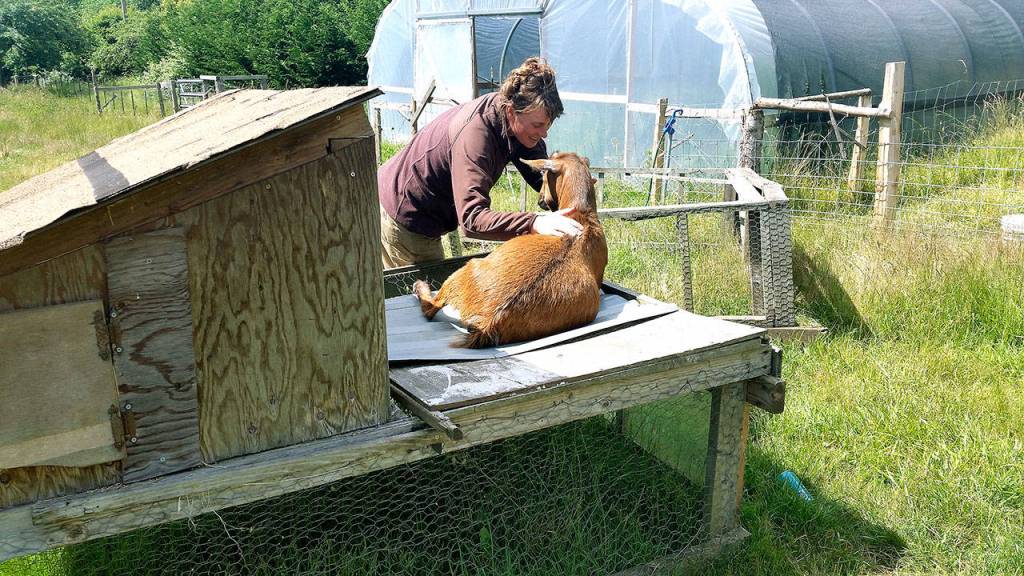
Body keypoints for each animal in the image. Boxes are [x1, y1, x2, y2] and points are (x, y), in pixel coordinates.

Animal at [412, 152, 608, 348]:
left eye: (544, 176)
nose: (540, 200)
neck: (582, 215)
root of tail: (488, 322)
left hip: (465, 269)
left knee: (431, 307)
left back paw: (419, 285)